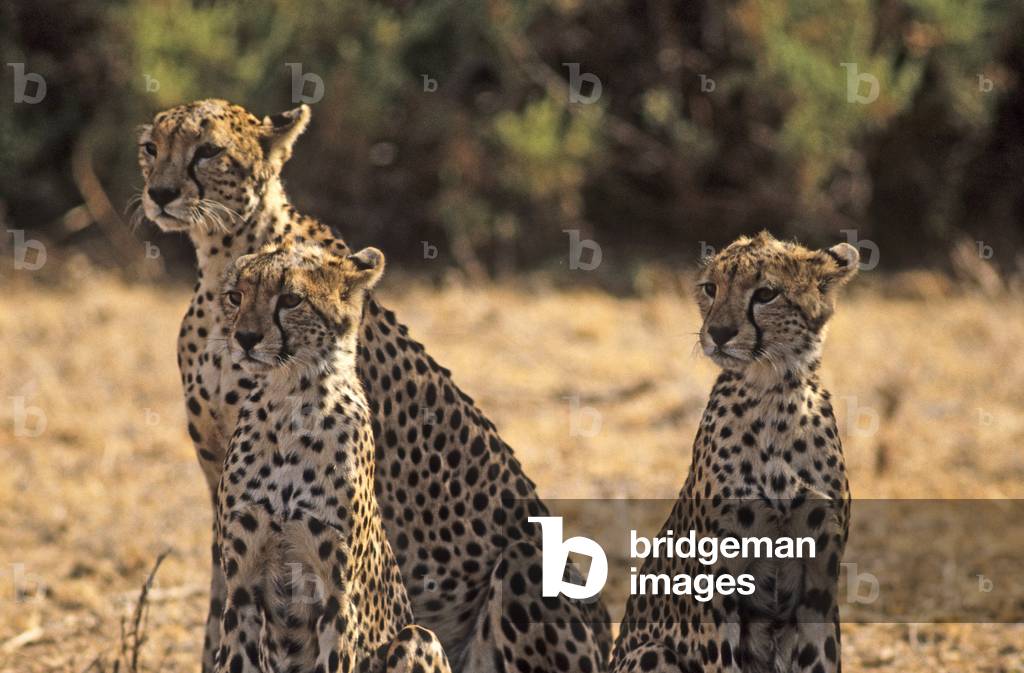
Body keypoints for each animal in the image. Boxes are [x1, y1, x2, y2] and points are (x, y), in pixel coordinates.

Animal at [213, 243, 451, 673]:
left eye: (291, 299)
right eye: (235, 296)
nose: (245, 338)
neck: (290, 403)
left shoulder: (336, 600)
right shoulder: (240, 594)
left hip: (416, 637)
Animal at [611, 231, 857, 673]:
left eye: (766, 294)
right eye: (711, 288)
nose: (719, 332)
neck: (773, 395)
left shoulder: (819, 589)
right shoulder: (715, 592)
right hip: (649, 651)